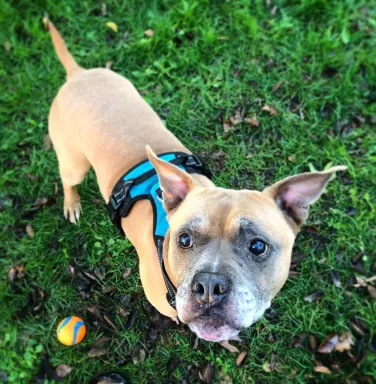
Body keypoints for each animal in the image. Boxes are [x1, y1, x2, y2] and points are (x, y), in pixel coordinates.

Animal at [47, 21, 346, 342]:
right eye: (184, 239)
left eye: (258, 246)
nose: (210, 286)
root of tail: (78, 73)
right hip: (74, 163)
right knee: (69, 180)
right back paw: (72, 203)